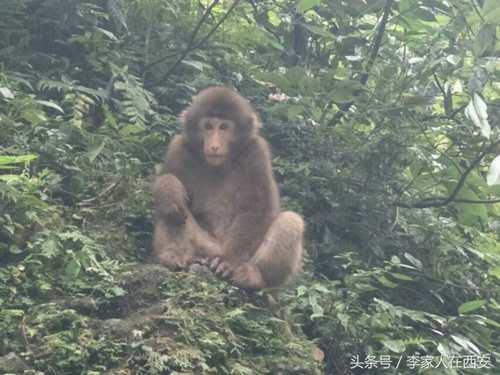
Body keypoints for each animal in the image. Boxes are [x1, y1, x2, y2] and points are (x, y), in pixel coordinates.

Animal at [152, 86, 302, 290]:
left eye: (223, 127)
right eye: (208, 126)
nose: (214, 145)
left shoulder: (256, 152)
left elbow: (256, 207)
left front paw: (230, 263)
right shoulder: (179, 148)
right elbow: (168, 182)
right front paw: (169, 190)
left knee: (291, 220)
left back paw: (254, 277)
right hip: (205, 247)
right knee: (170, 211)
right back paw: (176, 255)